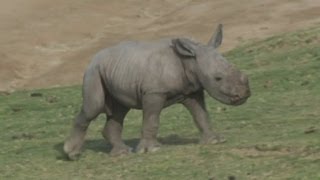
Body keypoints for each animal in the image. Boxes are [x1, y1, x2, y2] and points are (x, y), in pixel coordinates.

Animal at [63, 23, 251, 159]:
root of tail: (93, 58)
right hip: (93, 72)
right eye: (218, 78)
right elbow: (152, 119)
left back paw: (122, 153)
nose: (244, 94)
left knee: (119, 110)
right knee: (93, 108)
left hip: (117, 70)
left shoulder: (192, 89)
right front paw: (150, 150)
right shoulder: (154, 92)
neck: (189, 60)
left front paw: (215, 141)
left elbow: (201, 114)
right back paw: (72, 154)